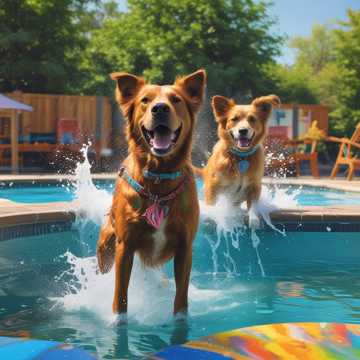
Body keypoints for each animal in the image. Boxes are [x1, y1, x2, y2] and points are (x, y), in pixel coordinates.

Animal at [97, 69, 207, 316]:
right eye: (145, 100)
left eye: (176, 100)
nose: (160, 108)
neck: (158, 179)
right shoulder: (125, 247)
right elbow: (120, 299)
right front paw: (118, 321)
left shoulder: (185, 248)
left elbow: (180, 300)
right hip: (106, 244)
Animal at [204, 95, 280, 225]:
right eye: (234, 119)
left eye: (252, 119)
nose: (243, 130)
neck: (241, 157)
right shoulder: (213, 186)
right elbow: (212, 204)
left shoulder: (254, 186)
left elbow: (253, 205)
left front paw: (253, 219)